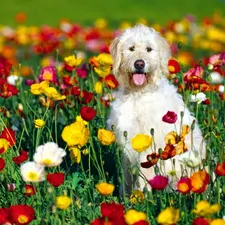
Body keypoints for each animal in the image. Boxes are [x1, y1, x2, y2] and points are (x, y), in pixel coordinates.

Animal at [107, 24, 206, 192]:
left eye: (149, 49)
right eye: (131, 48)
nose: (139, 64)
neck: (138, 94)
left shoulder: (147, 146)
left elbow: (142, 179)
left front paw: (139, 197)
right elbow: (127, 179)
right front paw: (125, 197)